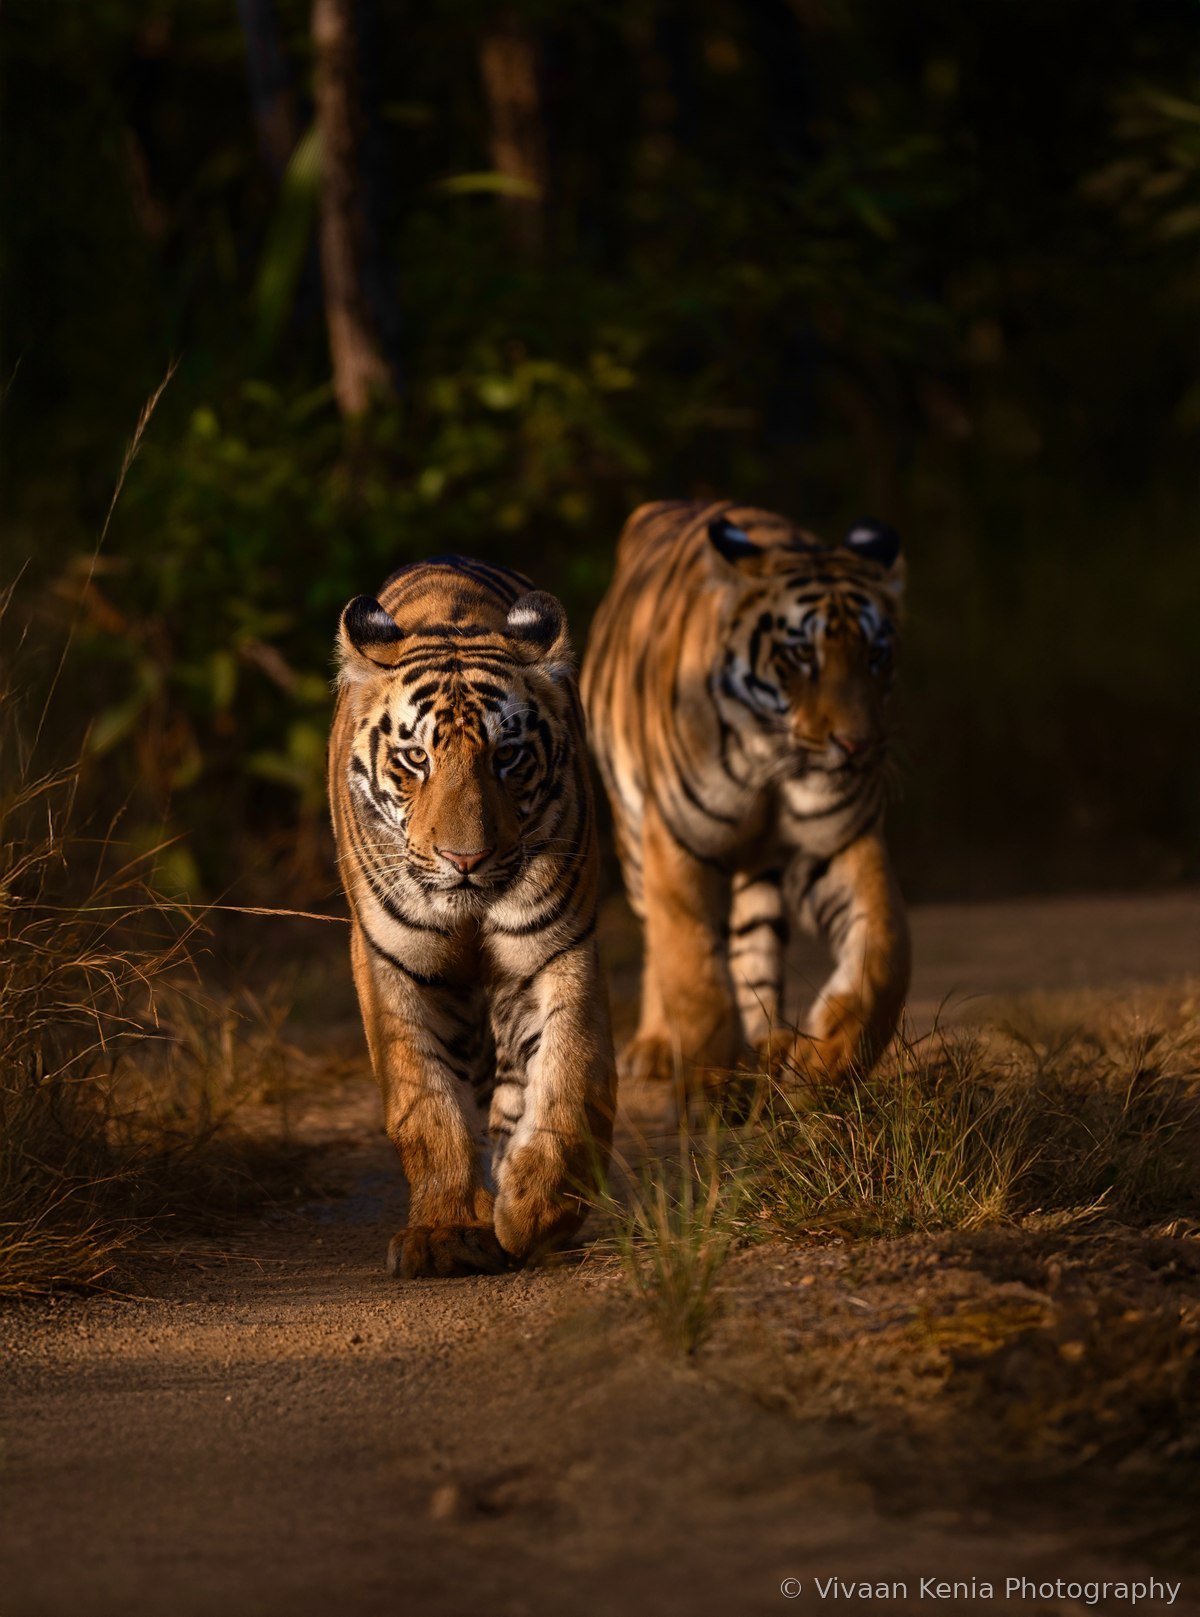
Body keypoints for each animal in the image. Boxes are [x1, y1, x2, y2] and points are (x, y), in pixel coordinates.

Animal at [329, 555, 616, 1278]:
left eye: (506, 757)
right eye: (415, 758)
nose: (464, 859)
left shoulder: (552, 951)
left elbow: (567, 1080)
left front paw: (538, 1209)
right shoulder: (396, 962)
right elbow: (426, 1102)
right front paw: (448, 1231)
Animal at [581, 500, 910, 1096]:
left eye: (876, 655)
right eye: (801, 654)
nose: (857, 746)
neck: (771, 759)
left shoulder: (836, 839)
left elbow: (886, 949)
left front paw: (827, 1062)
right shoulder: (678, 841)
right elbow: (691, 967)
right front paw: (709, 1077)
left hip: (759, 871)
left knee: (754, 945)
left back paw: (769, 1044)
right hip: (633, 836)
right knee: (658, 941)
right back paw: (660, 1048)